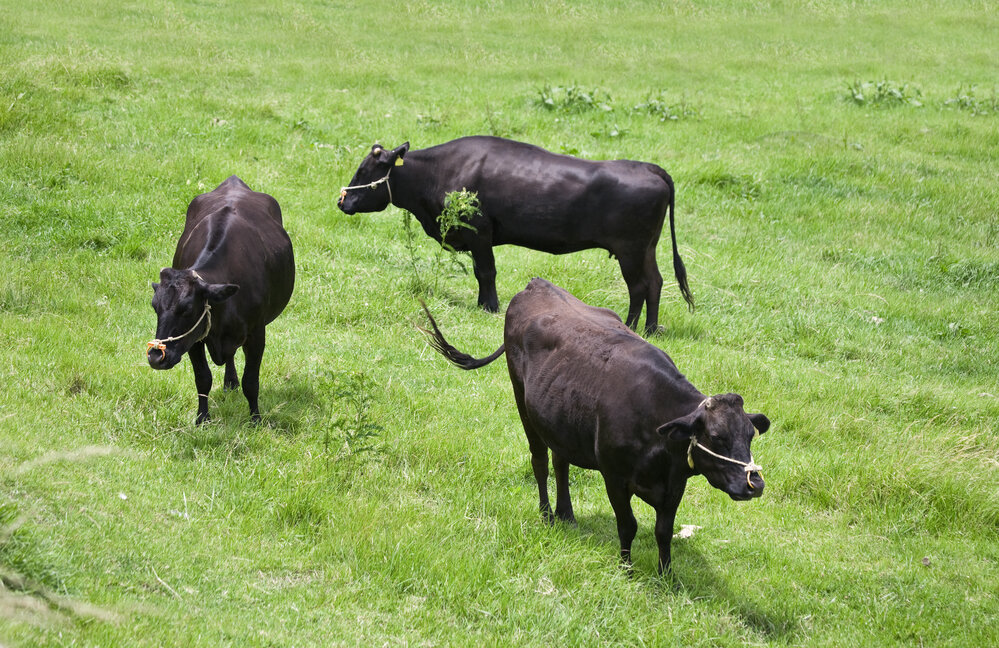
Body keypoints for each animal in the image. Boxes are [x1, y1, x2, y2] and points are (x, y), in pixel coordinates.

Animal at [146, 176, 292, 426]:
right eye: (155, 307)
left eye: (187, 309)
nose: (156, 357)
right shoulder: (195, 338)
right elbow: (203, 379)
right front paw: (202, 419)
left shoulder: (257, 334)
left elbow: (251, 382)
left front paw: (255, 420)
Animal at [340, 134, 692, 332]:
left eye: (364, 171)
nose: (342, 201)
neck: (438, 172)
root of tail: (647, 167)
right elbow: (481, 273)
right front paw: (483, 305)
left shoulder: (480, 232)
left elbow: (486, 272)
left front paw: (491, 307)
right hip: (646, 248)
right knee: (656, 282)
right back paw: (651, 329)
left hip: (630, 250)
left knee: (639, 286)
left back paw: (632, 327)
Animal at [418, 278, 768, 572]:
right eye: (716, 435)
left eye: (750, 435)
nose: (756, 484)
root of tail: (536, 284)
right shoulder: (614, 476)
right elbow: (628, 525)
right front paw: (626, 570)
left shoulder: (674, 483)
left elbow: (663, 531)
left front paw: (667, 575)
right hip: (523, 404)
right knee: (540, 462)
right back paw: (547, 515)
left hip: (558, 419)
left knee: (560, 462)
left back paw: (567, 515)